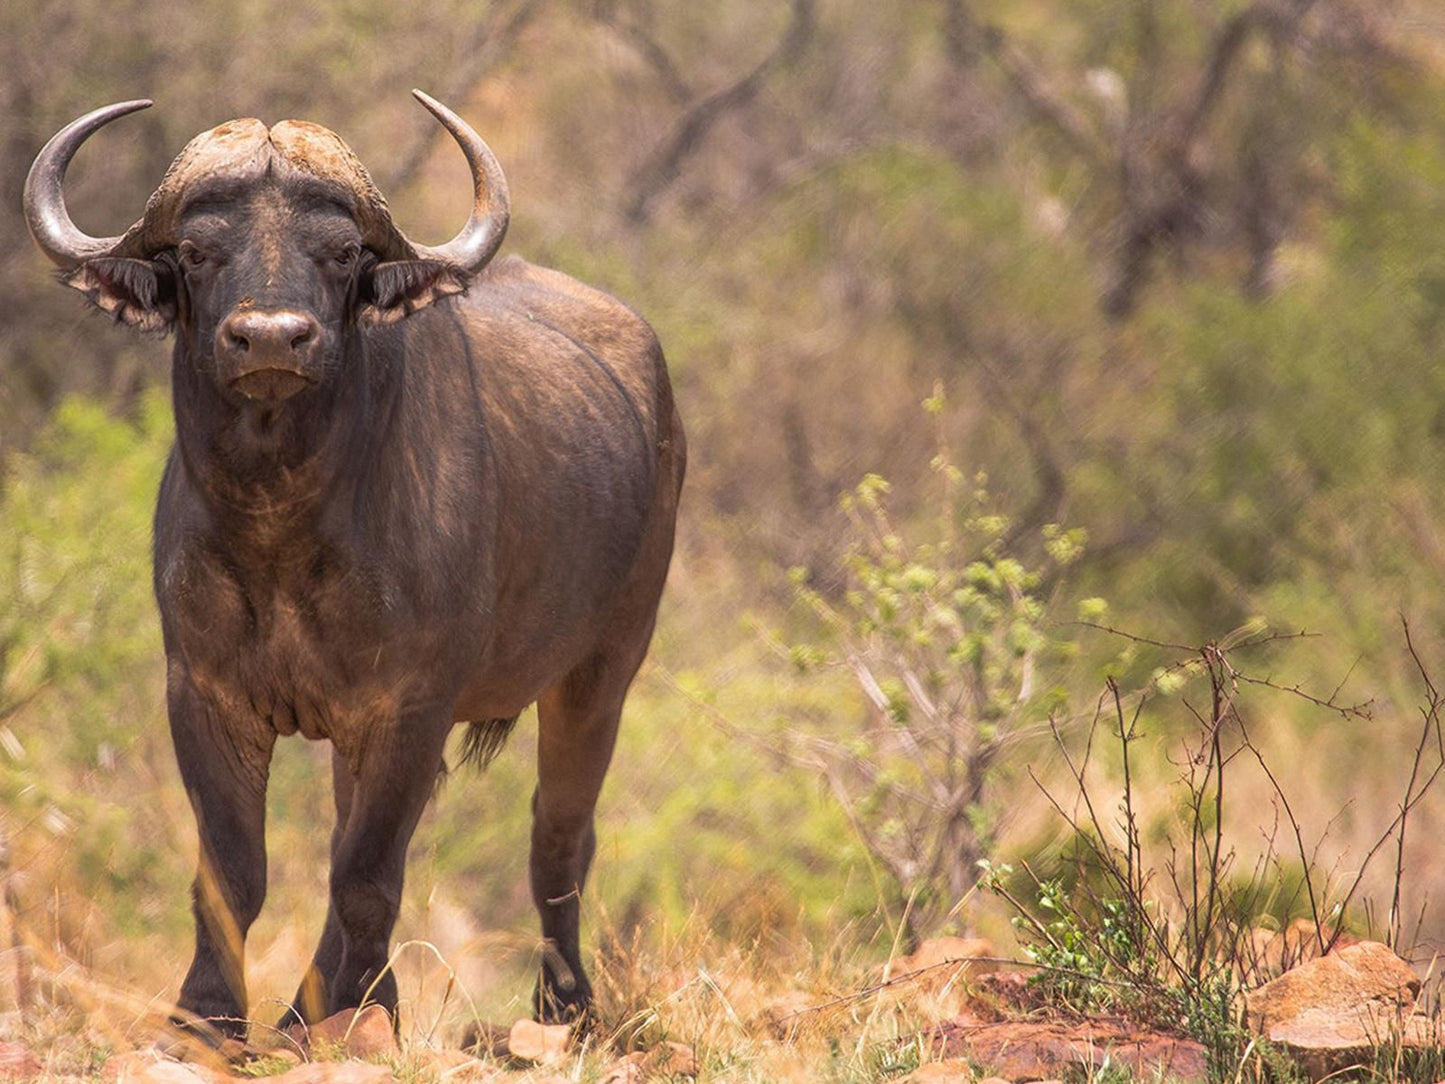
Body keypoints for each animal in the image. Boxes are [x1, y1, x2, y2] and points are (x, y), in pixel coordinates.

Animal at [22, 91, 684, 1034]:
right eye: (196, 250)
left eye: (339, 254)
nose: (270, 339)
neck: (281, 528)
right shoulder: (204, 693)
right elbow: (235, 873)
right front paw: (212, 1017)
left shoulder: (410, 705)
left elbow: (368, 874)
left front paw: (351, 1012)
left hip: (602, 670)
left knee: (558, 839)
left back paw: (563, 1006)